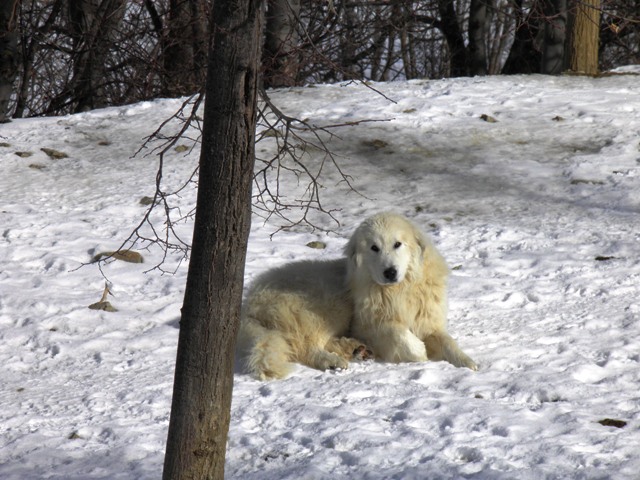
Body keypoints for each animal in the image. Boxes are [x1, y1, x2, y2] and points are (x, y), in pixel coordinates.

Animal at [239, 212, 476, 380]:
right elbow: (399, 333)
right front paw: (419, 350)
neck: (399, 290)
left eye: (397, 244)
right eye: (374, 248)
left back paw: (355, 349)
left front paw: (468, 362)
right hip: (326, 307)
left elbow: (448, 342)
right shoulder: (368, 324)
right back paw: (332, 360)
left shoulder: (428, 321)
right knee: (307, 346)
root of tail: (250, 304)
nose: (390, 272)